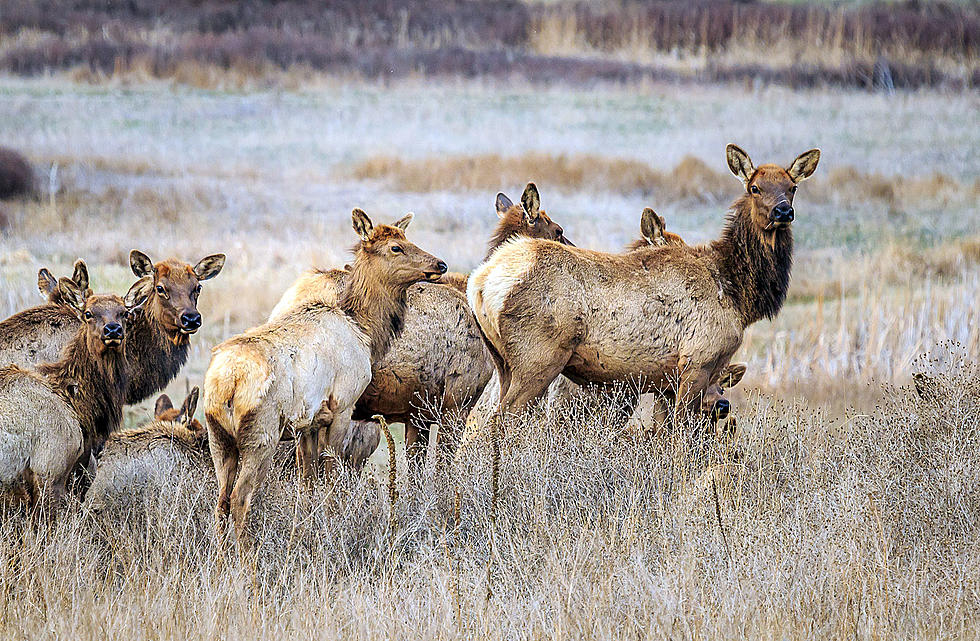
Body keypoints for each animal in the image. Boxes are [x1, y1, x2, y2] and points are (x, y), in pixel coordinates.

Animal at [204, 210, 448, 544]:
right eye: (396, 247)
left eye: (407, 238)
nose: (440, 264)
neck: (366, 332)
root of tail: (228, 382)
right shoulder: (343, 405)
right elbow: (331, 474)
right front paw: (333, 523)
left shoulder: (308, 423)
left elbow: (308, 480)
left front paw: (305, 525)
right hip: (261, 434)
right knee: (240, 498)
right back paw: (245, 556)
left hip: (218, 435)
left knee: (221, 501)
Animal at [470, 146, 824, 424]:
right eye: (754, 187)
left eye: (792, 187)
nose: (783, 210)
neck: (738, 295)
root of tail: (481, 283)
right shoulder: (697, 361)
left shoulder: (668, 381)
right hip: (538, 358)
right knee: (500, 423)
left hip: (503, 363)